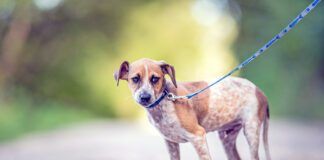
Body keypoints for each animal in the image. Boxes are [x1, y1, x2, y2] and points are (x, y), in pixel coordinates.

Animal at [114, 58, 270, 160]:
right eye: (135, 79)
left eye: (155, 79)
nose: (145, 97)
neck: (163, 102)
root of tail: (260, 91)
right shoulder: (171, 143)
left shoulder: (198, 136)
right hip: (227, 139)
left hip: (251, 131)